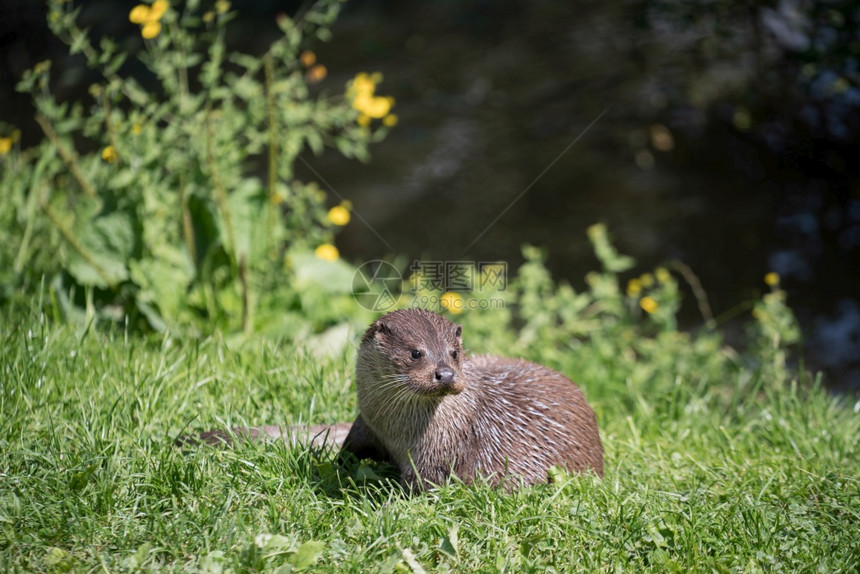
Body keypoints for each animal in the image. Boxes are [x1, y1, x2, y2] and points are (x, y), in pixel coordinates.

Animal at [183, 308, 596, 492]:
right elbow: (346, 454)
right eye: (416, 352)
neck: (397, 433)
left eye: (454, 353)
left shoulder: (435, 459)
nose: (445, 374)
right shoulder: (365, 425)